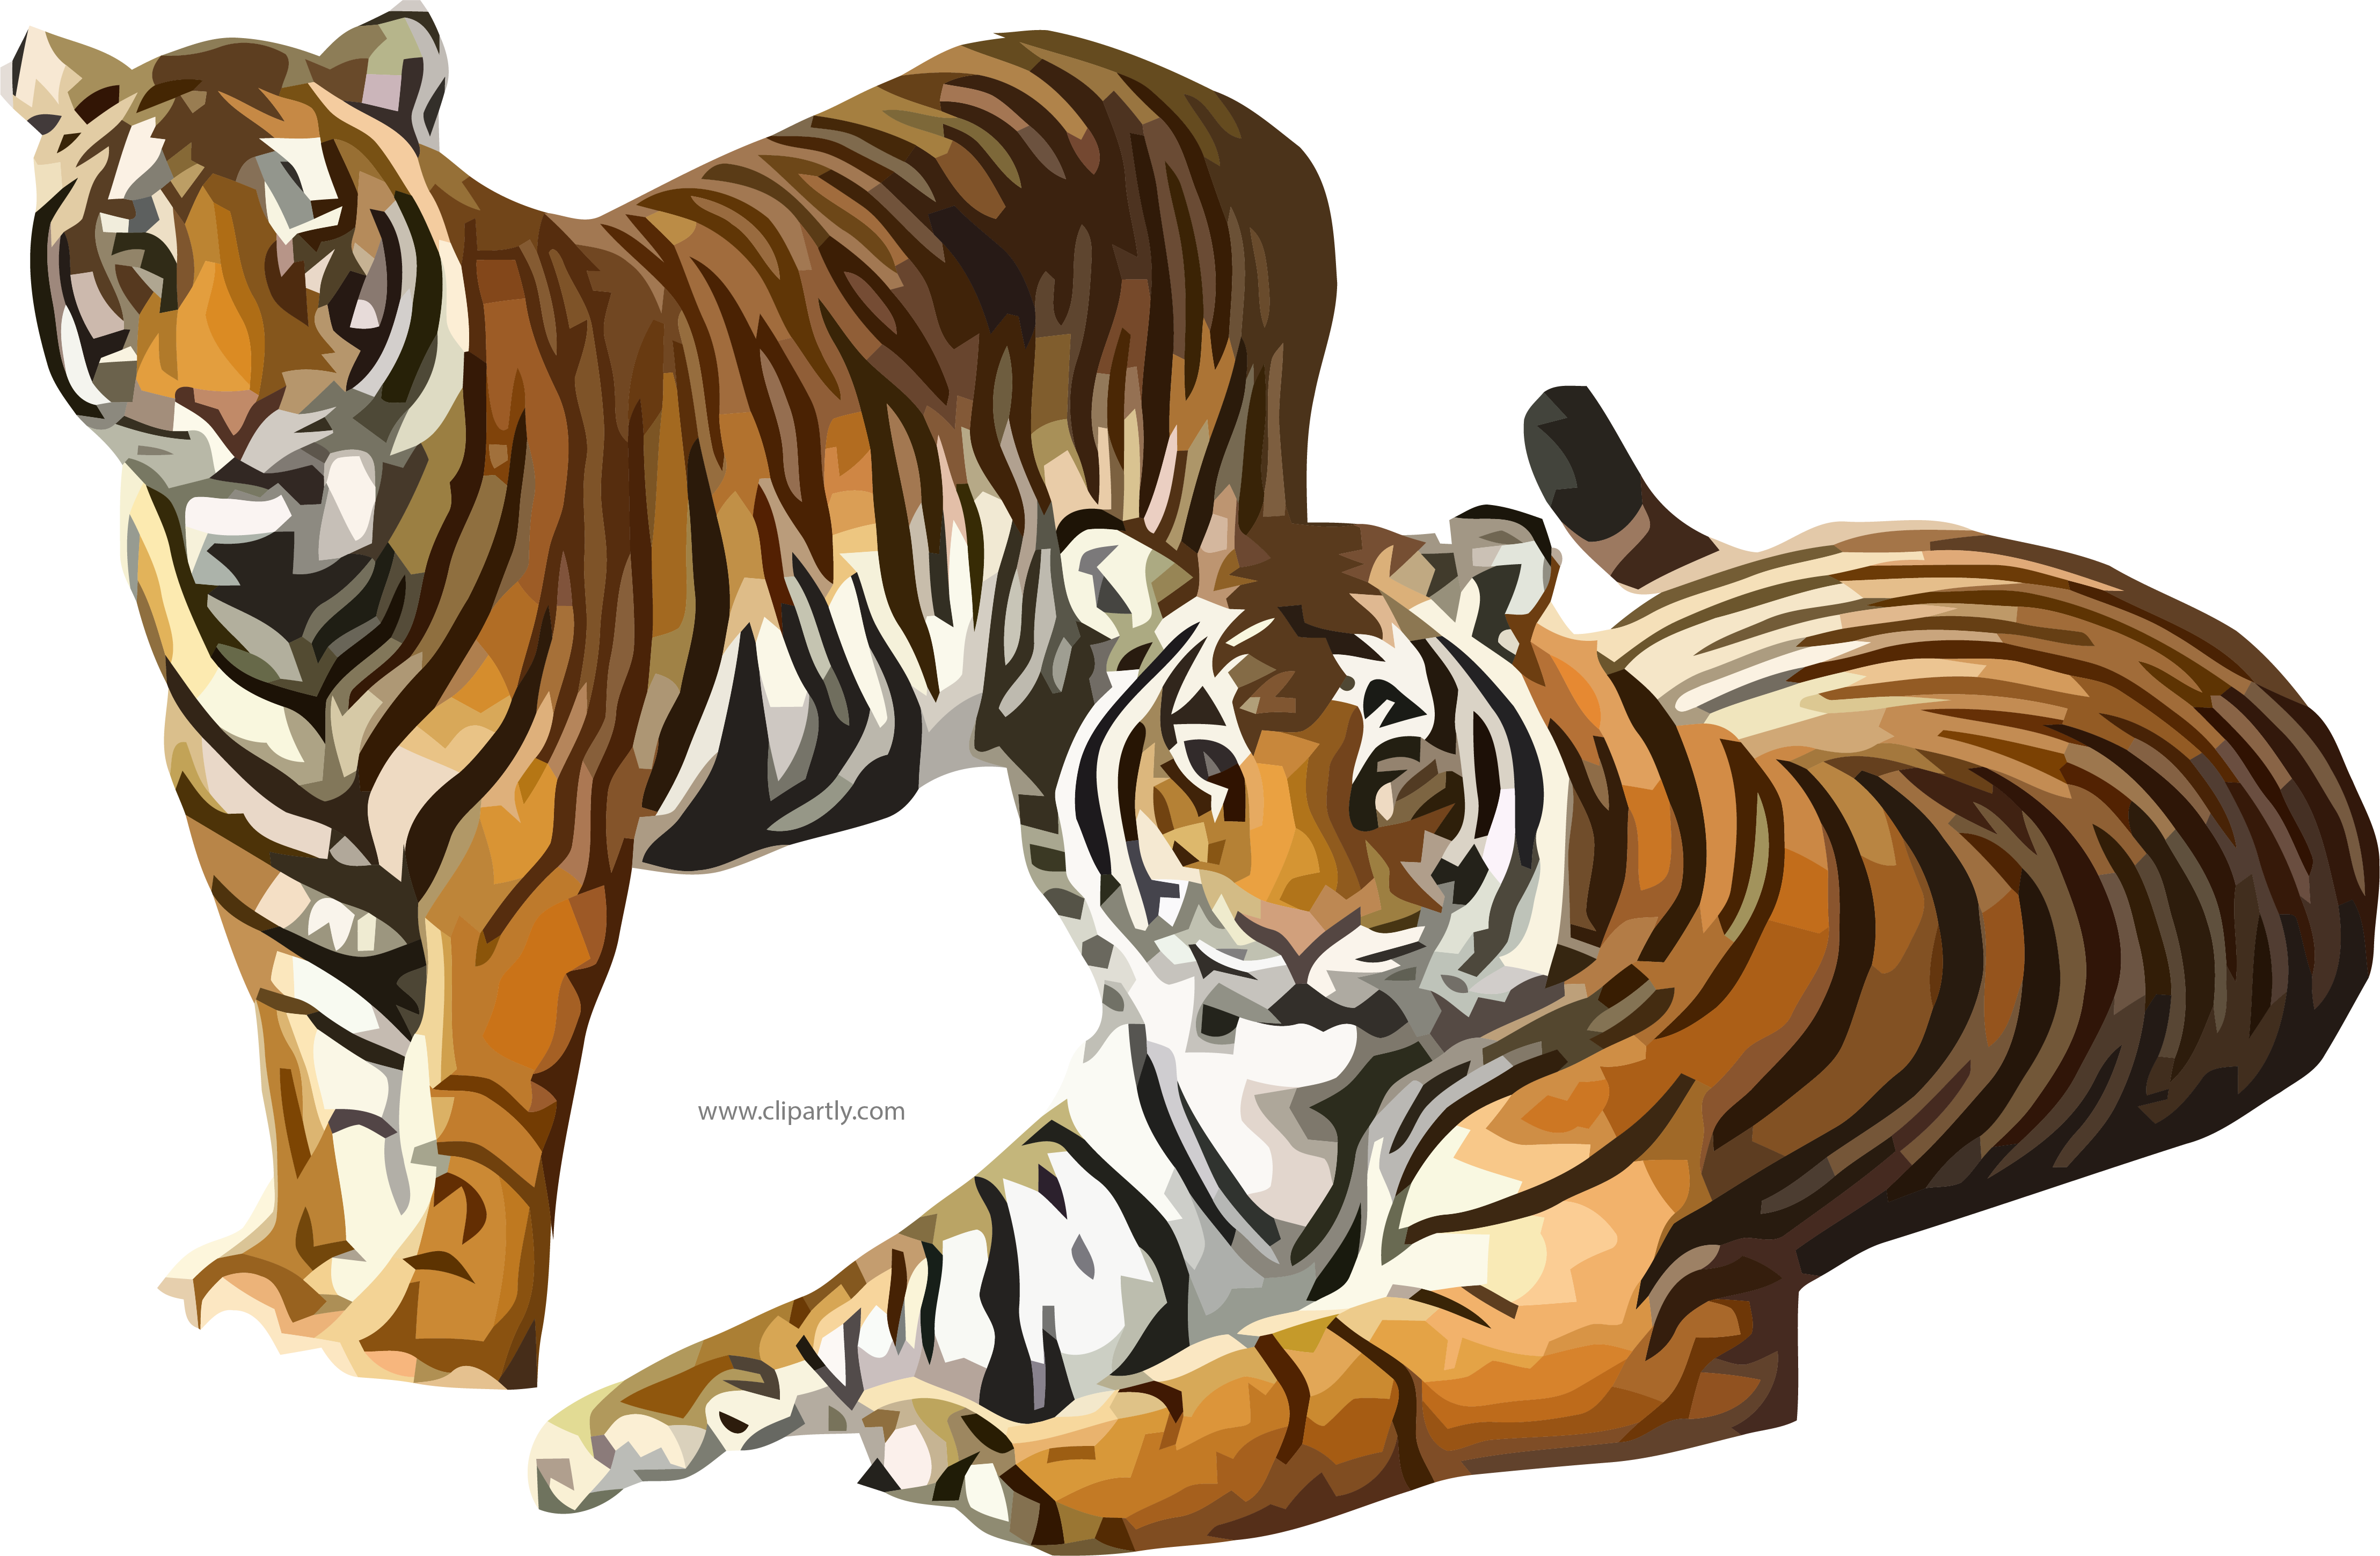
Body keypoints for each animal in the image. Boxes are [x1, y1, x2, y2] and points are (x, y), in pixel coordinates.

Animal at [7, 10, 1333, 1386]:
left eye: (309, 242)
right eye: (140, 252)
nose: (231, 414)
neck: (281, 593)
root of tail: (1241, 120)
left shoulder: (516, 842)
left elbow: (476, 1099)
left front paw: (433, 1335)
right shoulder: (257, 845)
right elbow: (314, 1071)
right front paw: (301, 1275)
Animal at [516, 389, 2371, 1543]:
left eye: (1392, 765)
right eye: (1206, 758)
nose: (1286, 937)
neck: (1301, 1083)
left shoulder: (1566, 1297)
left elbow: (1291, 1385)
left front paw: (990, 1459)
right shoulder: (1091, 1198)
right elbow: (858, 1287)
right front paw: (616, 1418)